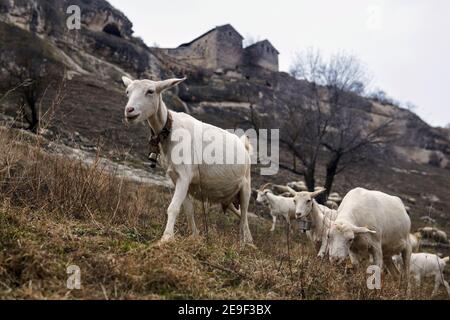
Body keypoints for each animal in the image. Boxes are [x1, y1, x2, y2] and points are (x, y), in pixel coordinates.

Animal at [121, 76, 255, 246]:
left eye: (150, 91)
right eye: (127, 92)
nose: (129, 110)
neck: (169, 128)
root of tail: (244, 146)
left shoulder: (184, 175)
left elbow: (173, 207)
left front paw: (166, 238)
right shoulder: (176, 178)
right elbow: (188, 209)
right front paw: (194, 236)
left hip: (245, 187)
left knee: (244, 215)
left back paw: (242, 244)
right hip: (229, 196)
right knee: (240, 214)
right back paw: (250, 241)